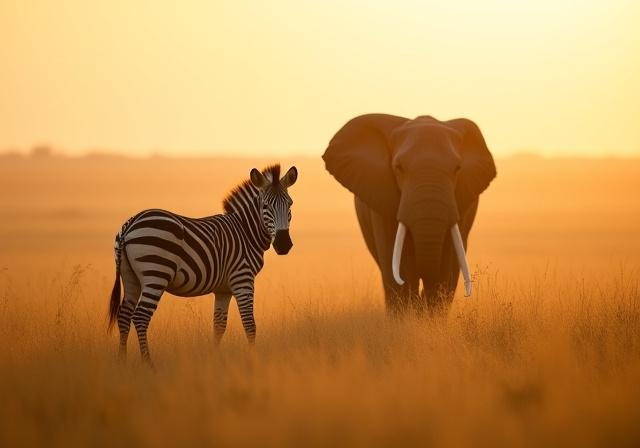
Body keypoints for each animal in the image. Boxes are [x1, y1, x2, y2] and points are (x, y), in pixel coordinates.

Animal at [108, 164, 298, 365]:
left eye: (290, 204)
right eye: (265, 206)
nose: (284, 245)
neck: (245, 232)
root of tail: (131, 223)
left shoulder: (223, 289)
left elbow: (219, 325)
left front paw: (214, 359)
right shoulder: (243, 279)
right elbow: (249, 325)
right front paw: (253, 360)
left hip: (130, 277)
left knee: (124, 315)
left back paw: (121, 363)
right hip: (156, 273)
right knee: (141, 317)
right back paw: (148, 364)